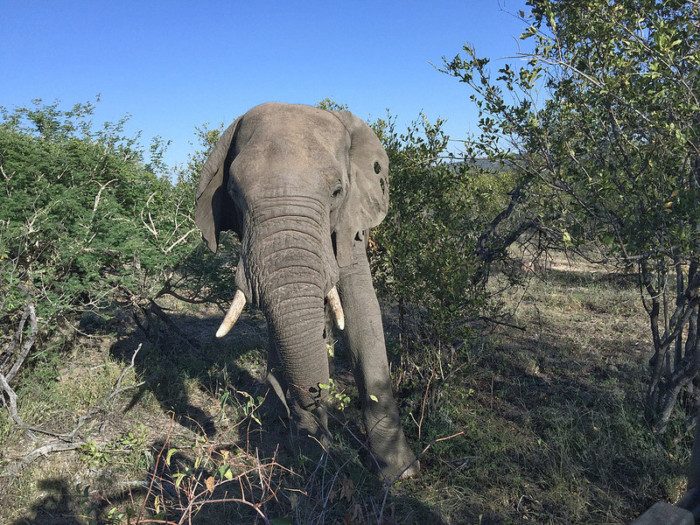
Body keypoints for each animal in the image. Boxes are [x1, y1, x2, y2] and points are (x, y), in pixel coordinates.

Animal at [194, 101, 418, 478]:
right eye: (235, 193)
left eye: (337, 192)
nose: (311, 393)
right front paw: (308, 455)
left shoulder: (352, 219)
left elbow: (361, 311)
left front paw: (400, 473)